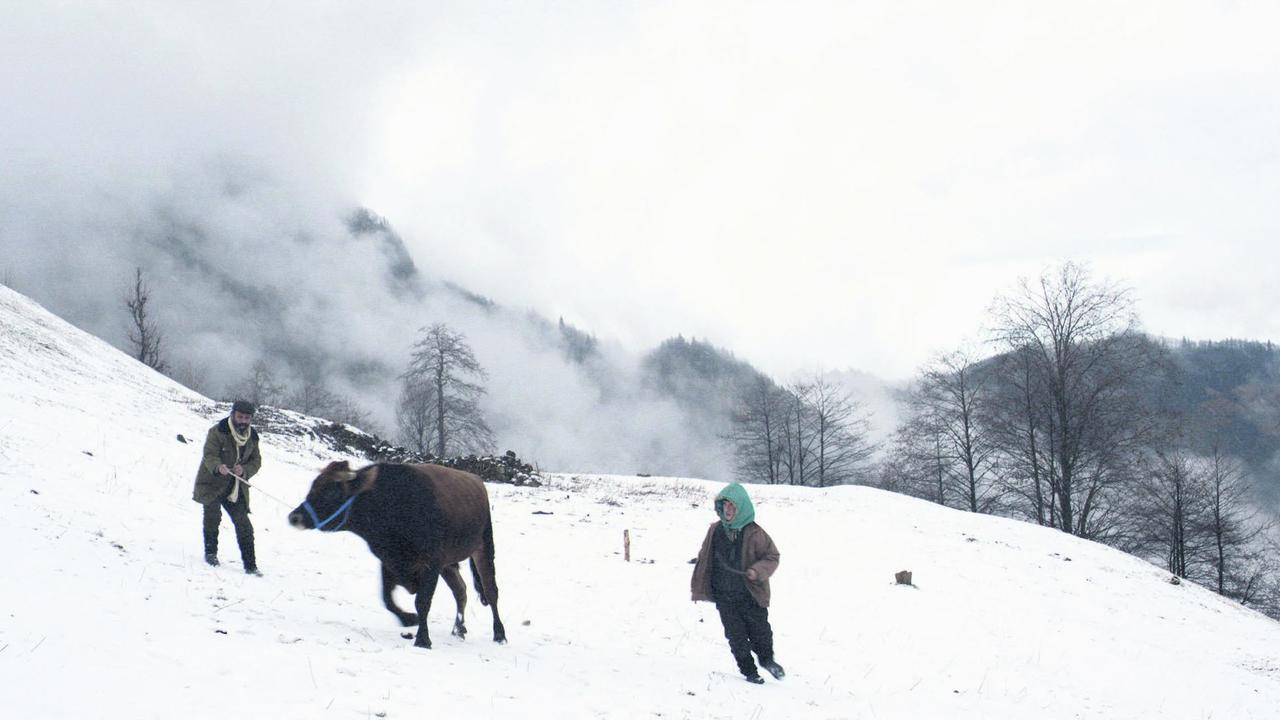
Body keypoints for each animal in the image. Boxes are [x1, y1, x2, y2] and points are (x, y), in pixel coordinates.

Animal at [289, 458, 504, 650]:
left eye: (331, 491)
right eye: (313, 485)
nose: (294, 517)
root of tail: (477, 480)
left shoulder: (431, 563)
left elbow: (422, 602)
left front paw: (423, 639)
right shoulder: (388, 561)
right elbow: (387, 599)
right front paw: (408, 619)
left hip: (484, 547)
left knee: (491, 592)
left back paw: (499, 634)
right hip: (448, 565)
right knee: (460, 590)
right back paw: (459, 630)